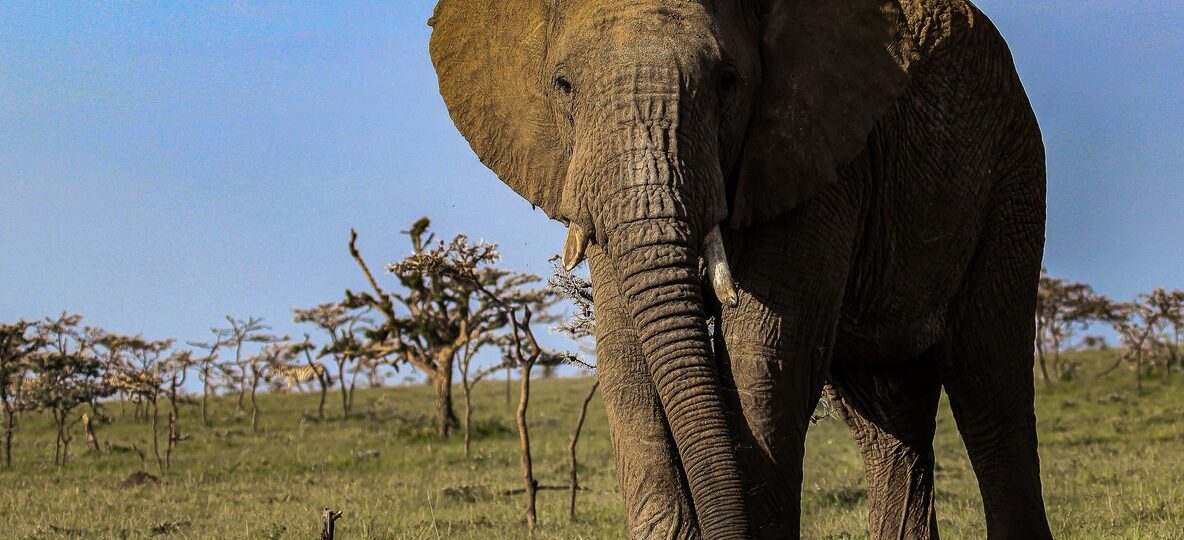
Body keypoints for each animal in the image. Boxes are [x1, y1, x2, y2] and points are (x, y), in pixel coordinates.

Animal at [429, 0, 1053, 538]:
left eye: (728, 82)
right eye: (563, 86)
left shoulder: (815, 146)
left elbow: (762, 348)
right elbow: (627, 356)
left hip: (1013, 172)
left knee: (988, 383)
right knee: (887, 415)